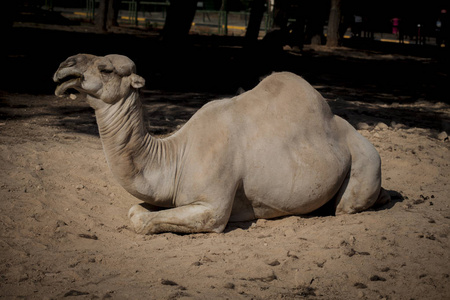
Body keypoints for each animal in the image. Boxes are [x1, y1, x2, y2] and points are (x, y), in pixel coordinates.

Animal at [52, 53, 390, 234]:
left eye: (106, 68)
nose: (64, 66)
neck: (175, 156)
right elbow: (136, 211)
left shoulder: (212, 207)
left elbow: (143, 222)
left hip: (364, 163)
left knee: (345, 206)